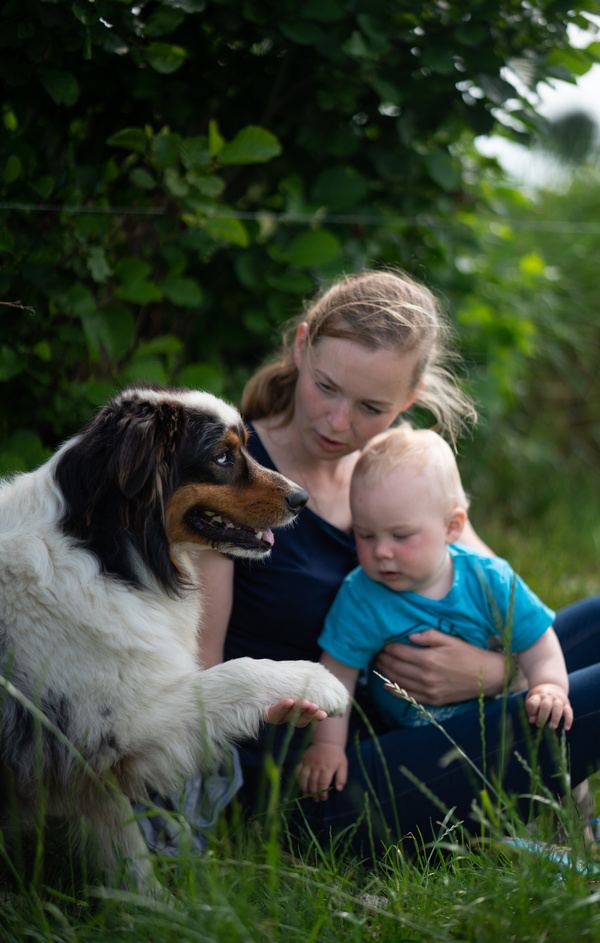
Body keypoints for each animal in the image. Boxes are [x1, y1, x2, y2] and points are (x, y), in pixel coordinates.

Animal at [0, 386, 350, 892]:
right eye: (223, 457)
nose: (303, 499)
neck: (106, 549)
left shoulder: (94, 760)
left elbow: (127, 849)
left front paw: (153, 905)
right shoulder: (120, 720)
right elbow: (236, 672)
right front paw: (319, 681)